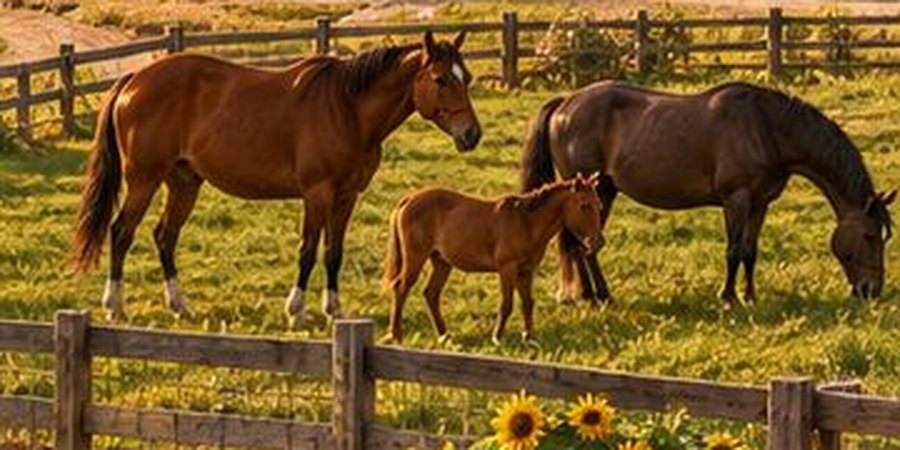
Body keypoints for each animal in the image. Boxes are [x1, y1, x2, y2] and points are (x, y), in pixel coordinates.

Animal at [70, 32, 482, 325]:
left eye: (467, 77)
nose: (471, 134)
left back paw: (180, 306)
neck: (346, 108)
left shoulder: (347, 196)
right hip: (144, 179)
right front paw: (296, 310)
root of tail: (134, 79)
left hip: (183, 182)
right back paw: (114, 306)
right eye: (440, 80)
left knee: (164, 236)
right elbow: (308, 250)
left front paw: (334, 309)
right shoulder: (317, 194)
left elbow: (333, 252)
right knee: (121, 232)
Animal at [382, 174, 604, 344]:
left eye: (599, 205)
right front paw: (497, 337)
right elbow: (506, 304)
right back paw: (396, 335)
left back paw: (444, 335)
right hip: (415, 258)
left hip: (442, 262)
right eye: (584, 206)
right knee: (401, 288)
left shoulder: (526, 271)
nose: (598, 242)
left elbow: (528, 303)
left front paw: (529, 337)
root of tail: (409, 198)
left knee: (431, 294)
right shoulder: (507, 269)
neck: (526, 222)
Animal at [521, 81, 895, 305]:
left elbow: (750, 251)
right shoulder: (736, 200)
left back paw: (589, 294)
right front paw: (728, 296)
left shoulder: (760, 204)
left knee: (579, 244)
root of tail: (565, 104)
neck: (766, 128)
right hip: (592, 192)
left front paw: (750, 296)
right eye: (869, 236)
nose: (871, 292)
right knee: (581, 243)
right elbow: (733, 251)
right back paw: (598, 295)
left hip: (603, 192)